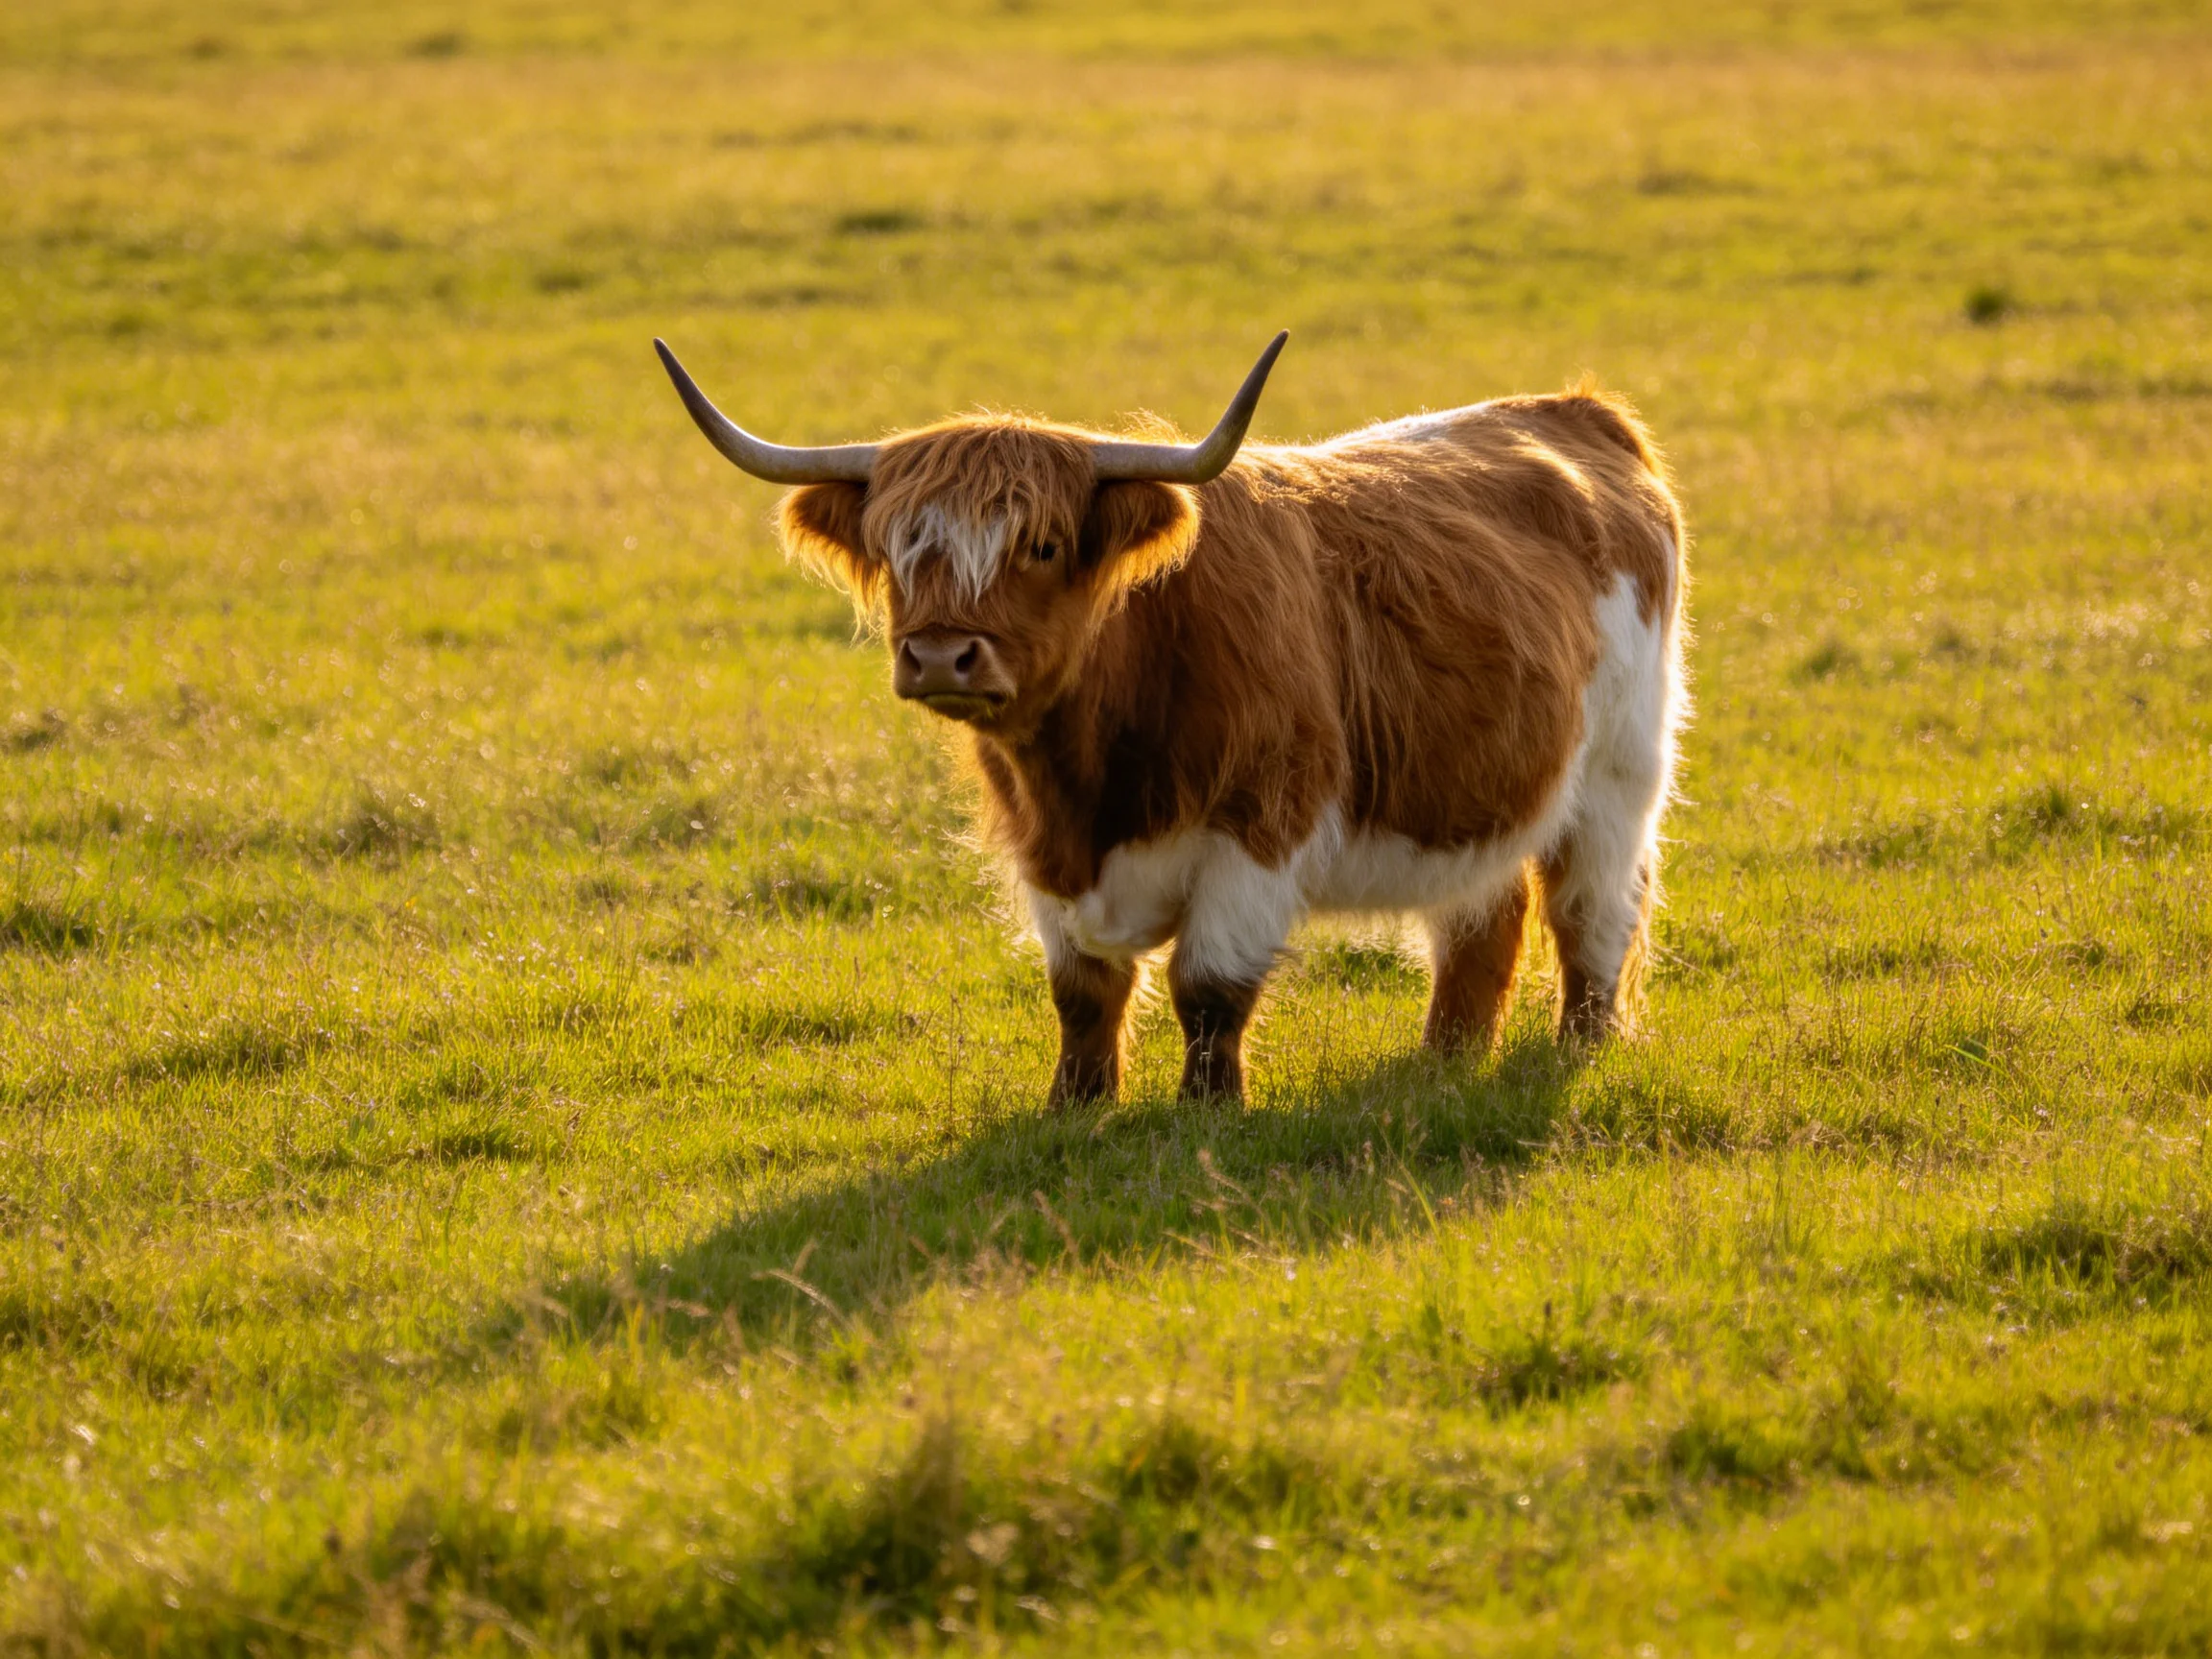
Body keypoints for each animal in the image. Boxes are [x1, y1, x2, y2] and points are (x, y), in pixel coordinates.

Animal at [655, 332, 1686, 1105]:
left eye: (1043, 544)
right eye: (896, 547)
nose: (942, 657)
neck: (1091, 786)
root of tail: (1571, 411)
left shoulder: (1258, 831)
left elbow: (1209, 987)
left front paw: (1208, 1108)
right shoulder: (1045, 856)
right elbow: (1084, 993)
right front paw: (1075, 1107)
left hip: (1618, 777)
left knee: (1593, 911)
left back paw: (1582, 1047)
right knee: (1482, 918)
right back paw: (1445, 1061)